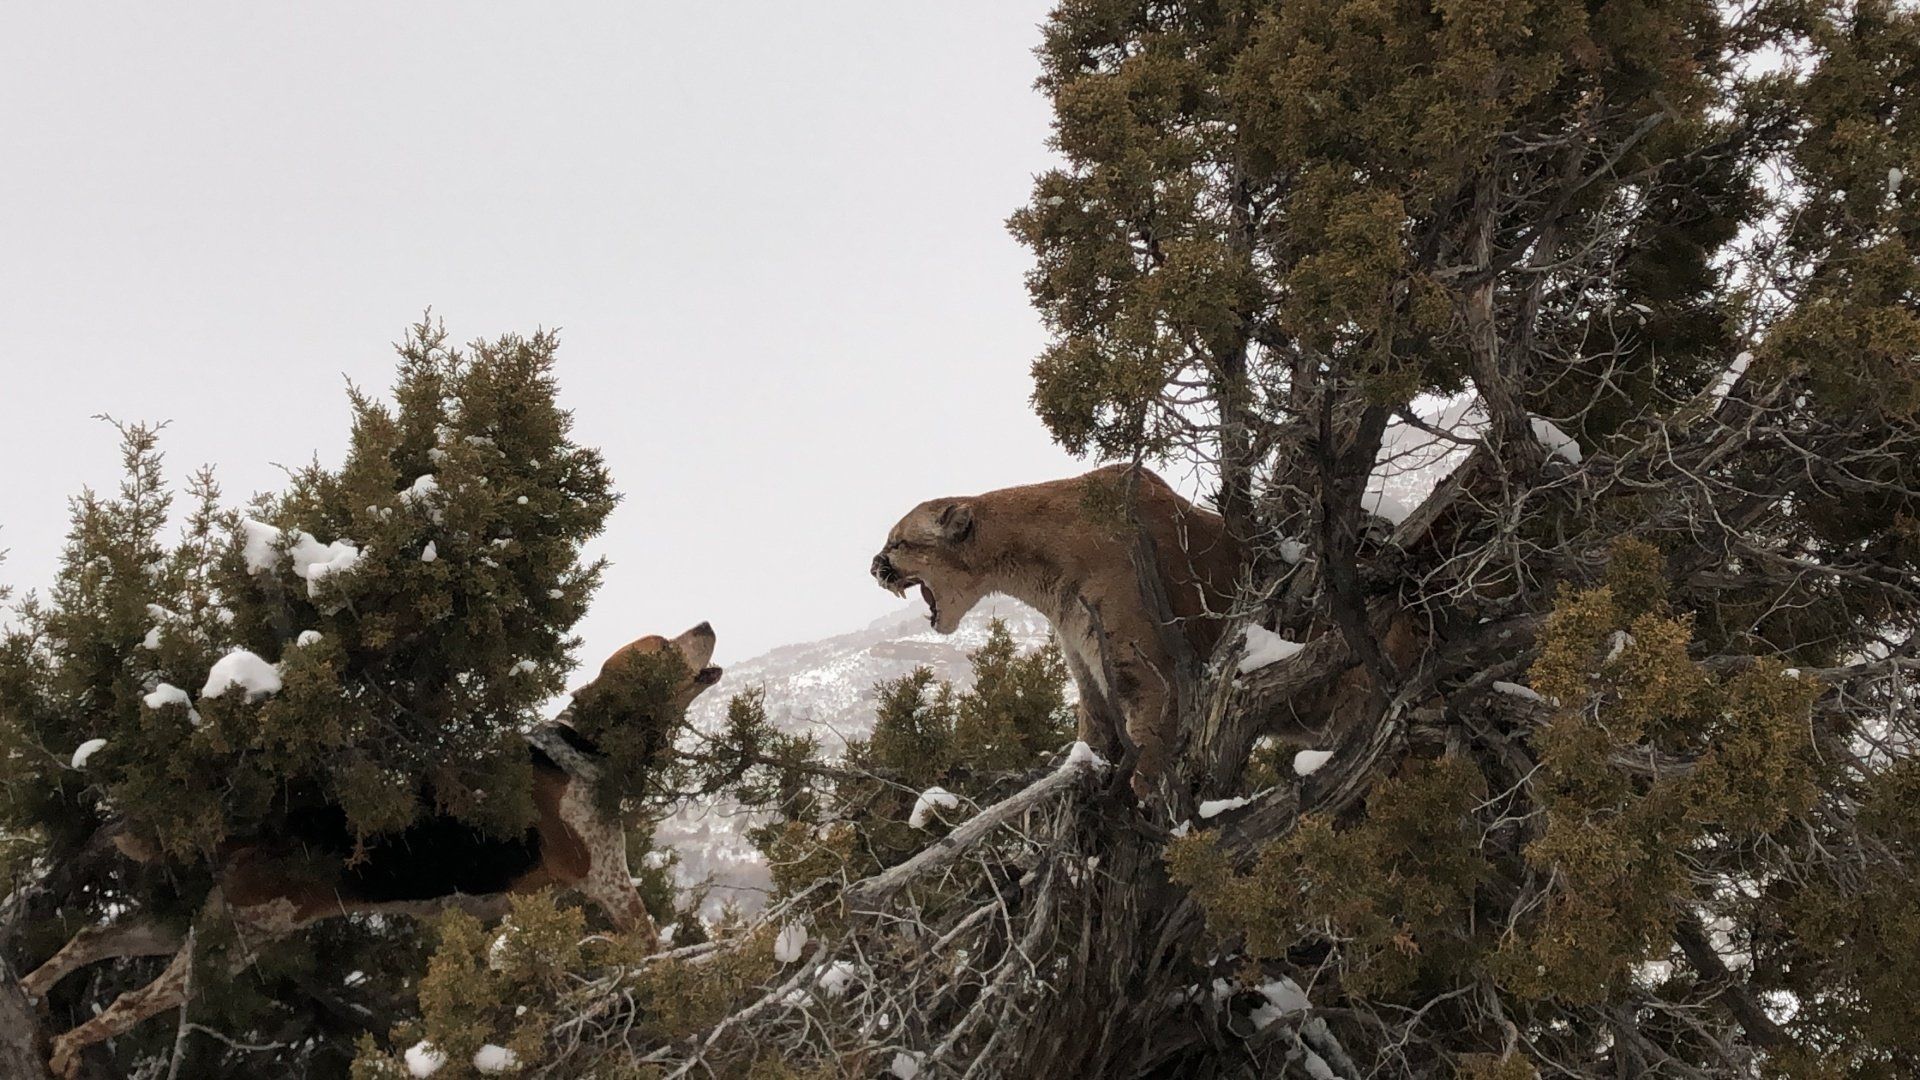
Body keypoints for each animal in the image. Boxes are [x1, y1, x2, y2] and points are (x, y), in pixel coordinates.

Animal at [870, 464, 1244, 792]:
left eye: (898, 543)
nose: (873, 566)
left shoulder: (1153, 681)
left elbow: (1149, 767)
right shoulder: (1090, 677)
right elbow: (1091, 739)